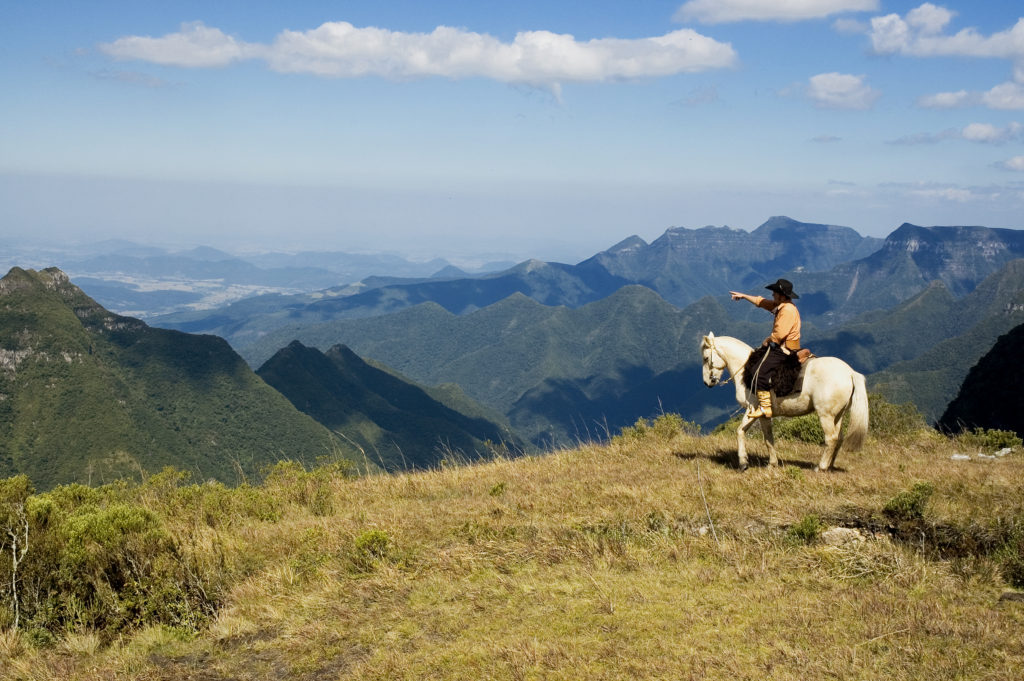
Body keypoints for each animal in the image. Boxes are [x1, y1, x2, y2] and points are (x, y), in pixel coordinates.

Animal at [700, 331, 868, 471]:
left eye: (706, 358)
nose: (707, 382)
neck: (746, 369)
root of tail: (850, 372)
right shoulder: (761, 414)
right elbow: (763, 436)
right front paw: (769, 463)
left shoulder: (753, 409)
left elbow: (745, 432)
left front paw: (744, 463)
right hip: (838, 415)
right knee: (839, 438)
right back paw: (830, 465)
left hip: (825, 414)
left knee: (831, 438)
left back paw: (820, 467)